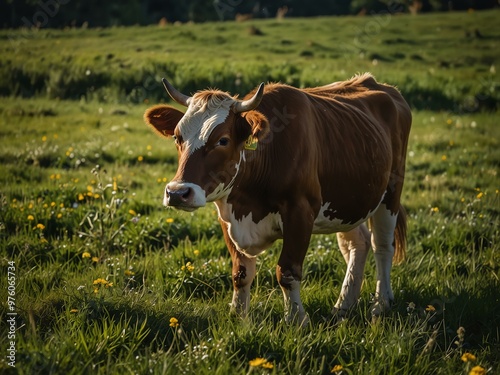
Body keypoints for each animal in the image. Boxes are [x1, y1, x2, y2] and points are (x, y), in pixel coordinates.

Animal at [144, 73, 410, 326]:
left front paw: (295, 320)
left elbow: (287, 272)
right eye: (177, 137)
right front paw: (238, 318)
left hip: (391, 193)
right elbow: (240, 273)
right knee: (358, 244)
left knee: (382, 245)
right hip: (348, 202)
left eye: (223, 140)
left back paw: (381, 304)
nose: (177, 193)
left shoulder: (300, 212)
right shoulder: (227, 217)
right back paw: (344, 305)